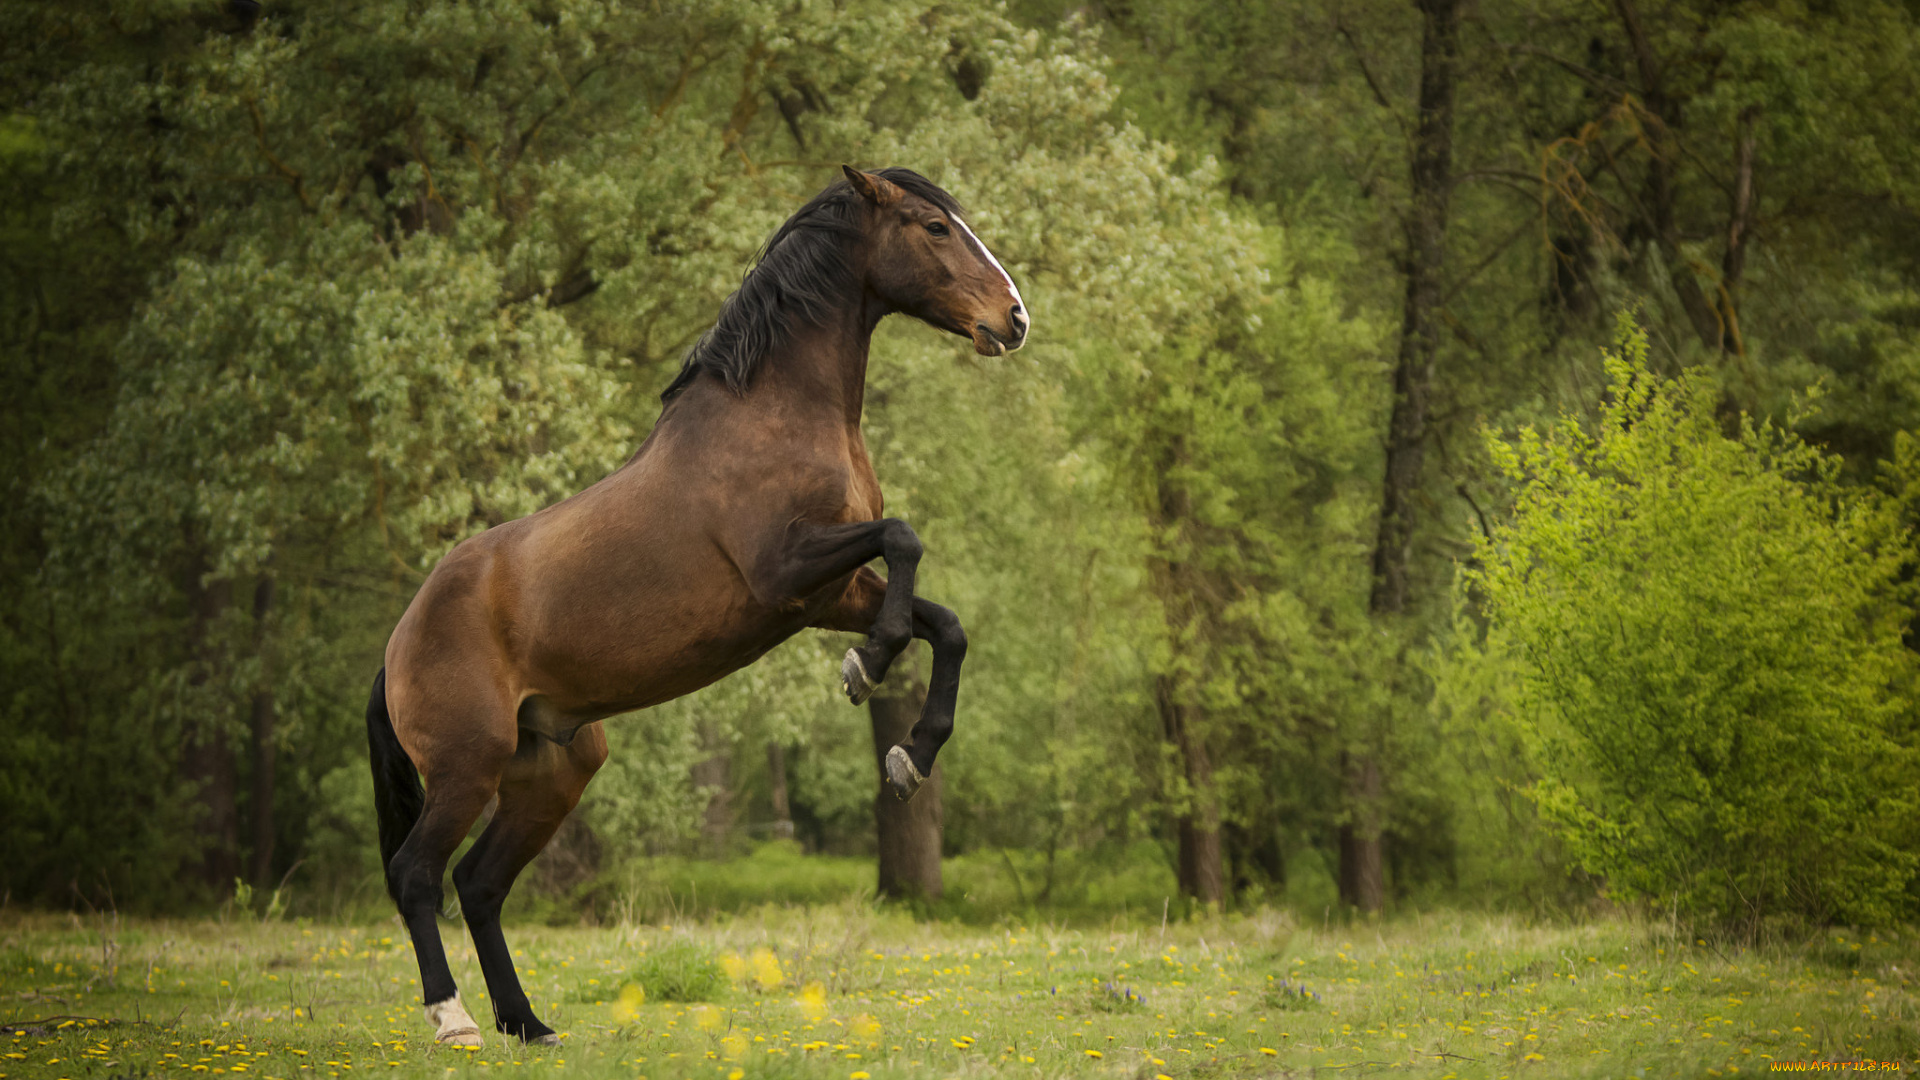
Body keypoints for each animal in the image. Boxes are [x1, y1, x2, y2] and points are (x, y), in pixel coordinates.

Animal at [364, 166, 1029, 1045]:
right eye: (934, 227)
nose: (1013, 318)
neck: (771, 415)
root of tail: (397, 646)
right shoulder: (786, 573)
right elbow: (905, 539)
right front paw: (869, 666)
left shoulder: (824, 594)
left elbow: (945, 625)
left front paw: (907, 753)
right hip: (466, 769)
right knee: (416, 873)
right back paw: (456, 1021)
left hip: (550, 772)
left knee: (478, 883)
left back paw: (528, 1024)